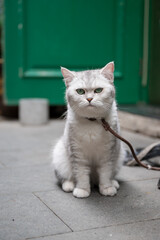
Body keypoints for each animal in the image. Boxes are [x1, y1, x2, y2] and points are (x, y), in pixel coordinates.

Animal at [52, 62, 124, 199]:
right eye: (80, 91)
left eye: (98, 90)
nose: (89, 99)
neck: (92, 121)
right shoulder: (77, 153)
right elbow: (81, 174)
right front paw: (82, 190)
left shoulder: (108, 154)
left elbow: (106, 173)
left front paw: (107, 188)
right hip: (59, 157)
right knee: (65, 178)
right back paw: (69, 185)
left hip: (120, 156)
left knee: (109, 175)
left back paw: (113, 183)